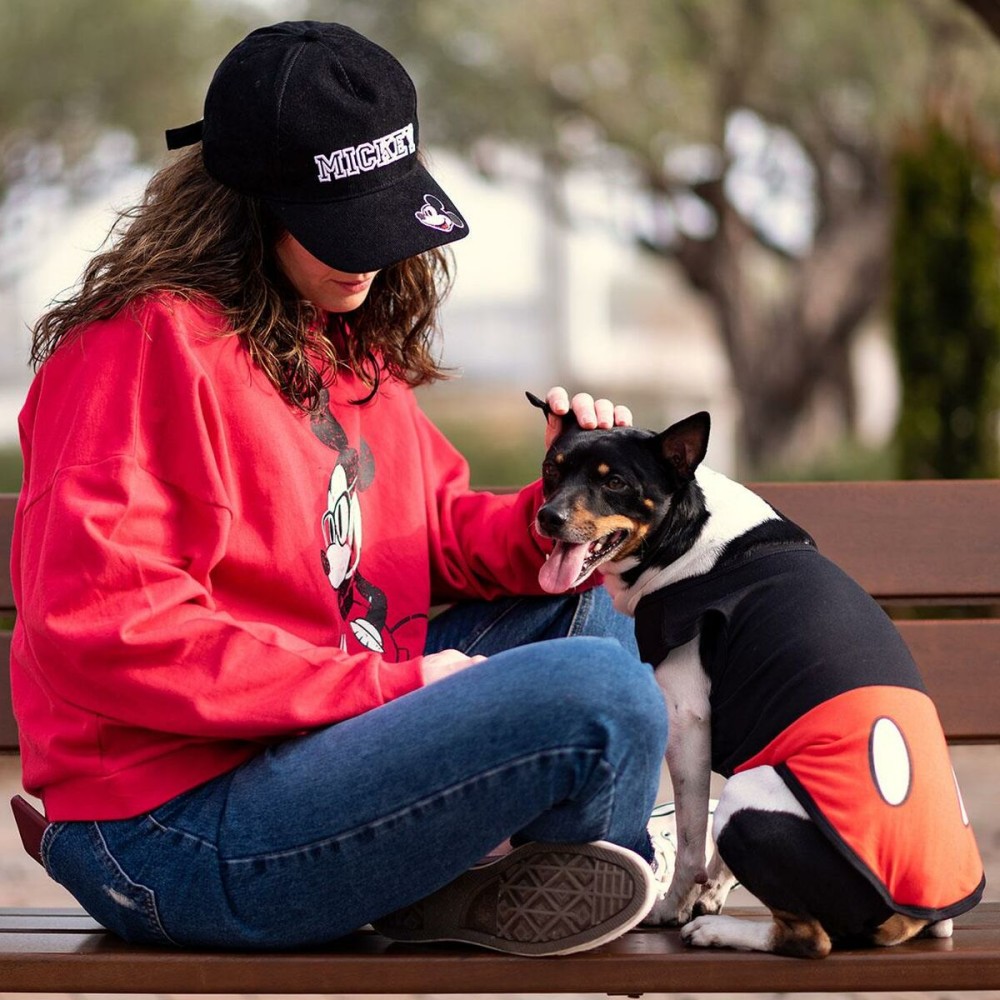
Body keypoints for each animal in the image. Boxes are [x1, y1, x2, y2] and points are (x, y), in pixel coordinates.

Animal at [532, 392, 984, 960]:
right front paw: (710, 893)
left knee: (809, 939)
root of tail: (909, 917)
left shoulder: (688, 724)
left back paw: (718, 932)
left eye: (614, 483)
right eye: (552, 470)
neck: (691, 535)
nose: (548, 517)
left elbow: (690, 841)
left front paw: (672, 907)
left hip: (748, 796)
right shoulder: (748, 727)